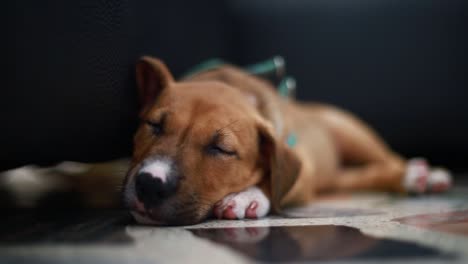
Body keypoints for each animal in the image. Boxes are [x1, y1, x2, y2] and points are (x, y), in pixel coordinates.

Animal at [119, 55, 450, 225]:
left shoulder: (302, 164)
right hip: (332, 173)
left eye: (221, 149)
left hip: (350, 132)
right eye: (153, 125)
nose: (150, 184)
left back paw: (419, 175)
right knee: (359, 176)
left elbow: (275, 179)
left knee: (389, 158)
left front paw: (247, 197)